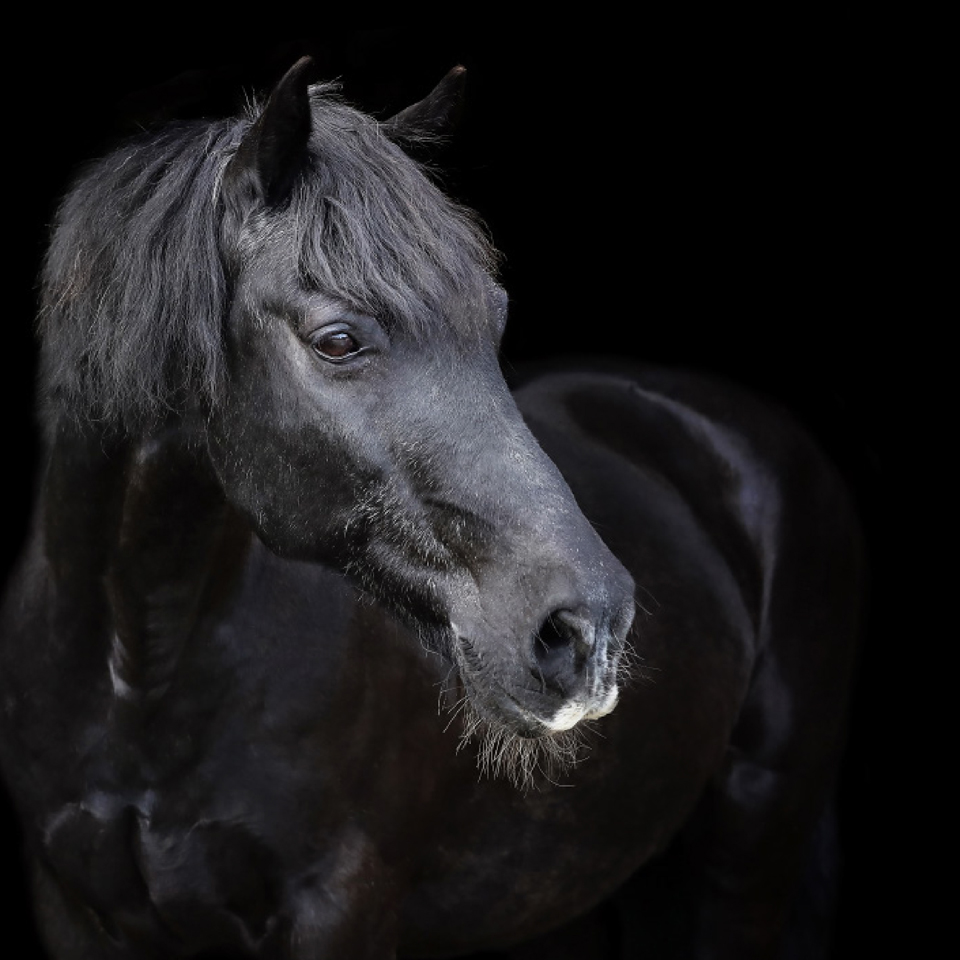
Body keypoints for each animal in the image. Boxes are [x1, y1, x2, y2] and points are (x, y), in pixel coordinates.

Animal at [0, 56, 864, 959]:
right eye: (337, 340)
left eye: (496, 315)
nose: (586, 632)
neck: (140, 675)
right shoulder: (74, 912)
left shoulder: (336, 913)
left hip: (745, 856)